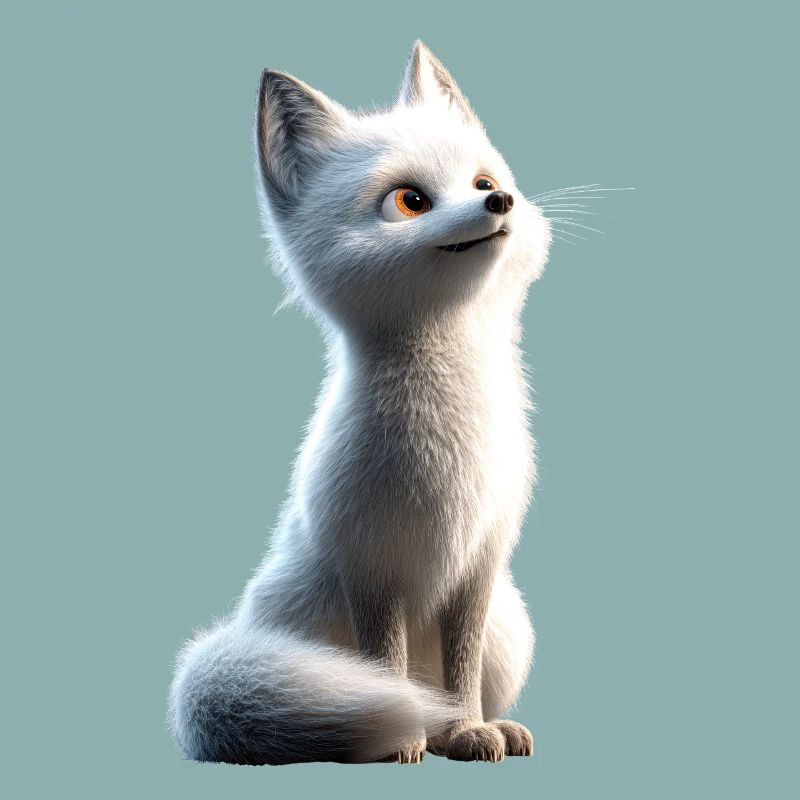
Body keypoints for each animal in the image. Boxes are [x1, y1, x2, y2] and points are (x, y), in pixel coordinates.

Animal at [169, 40, 551, 765]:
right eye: (410, 200)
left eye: (482, 182)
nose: (502, 201)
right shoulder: (370, 565)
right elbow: (384, 664)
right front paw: (409, 738)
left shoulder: (481, 564)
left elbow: (459, 670)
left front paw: (466, 729)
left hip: (510, 628)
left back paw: (489, 725)